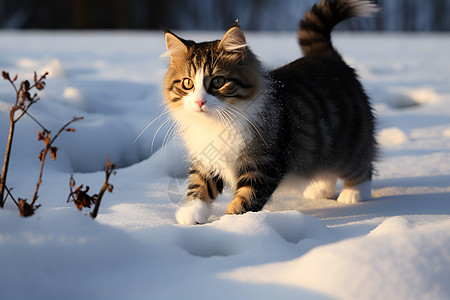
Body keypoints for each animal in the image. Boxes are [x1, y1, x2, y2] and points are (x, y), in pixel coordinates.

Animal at [163, 0, 378, 225]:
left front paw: (232, 222)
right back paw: (319, 189)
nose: (199, 101)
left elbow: (246, 199)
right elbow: (199, 184)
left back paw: (354, 193)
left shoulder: (263, 164)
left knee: (361, 163)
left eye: (218, 82)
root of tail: (326, 58)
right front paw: (191, 213)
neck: (217, 122)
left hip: (351, 141)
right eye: (188, 83)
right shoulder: (207, 157)